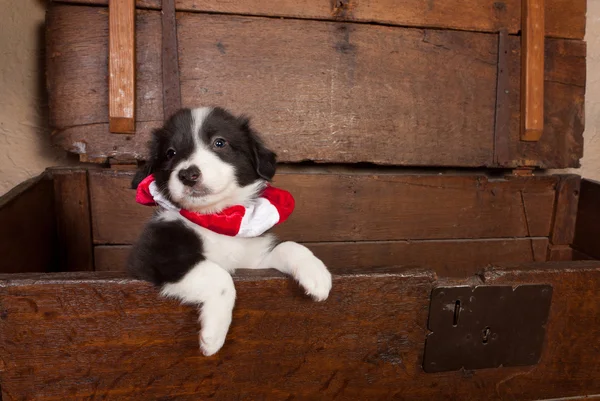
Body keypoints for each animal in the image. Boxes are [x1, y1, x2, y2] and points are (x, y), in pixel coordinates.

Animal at [127, 105, 332, 354]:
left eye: (219, 142)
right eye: (170, 153)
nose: (188, 175)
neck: (217, 219)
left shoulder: (253, 262)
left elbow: (289, 247)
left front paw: (317, 275)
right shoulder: (155, 255)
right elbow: (221, 276)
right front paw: (213, 335)